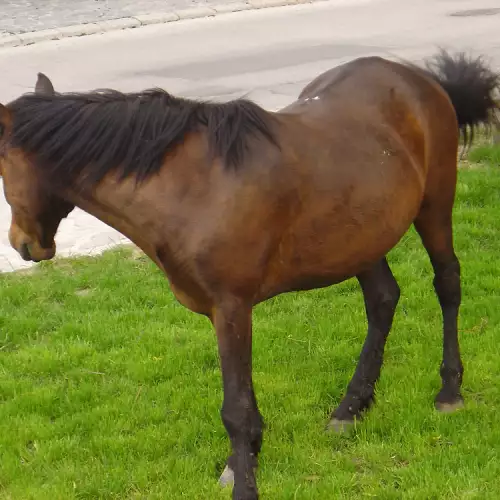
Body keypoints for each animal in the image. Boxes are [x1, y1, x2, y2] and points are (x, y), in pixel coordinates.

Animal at [0, 47, 498, 500]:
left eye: (2, 165)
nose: (22, 244)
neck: (191, 188)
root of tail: (418, 79)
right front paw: (240, 464)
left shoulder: (232, 308)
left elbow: (236, 409)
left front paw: (244, 481)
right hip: (363, 234)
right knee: (382, 300)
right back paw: (351, 407)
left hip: (435, 204)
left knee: (447, 283)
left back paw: (449, 391)